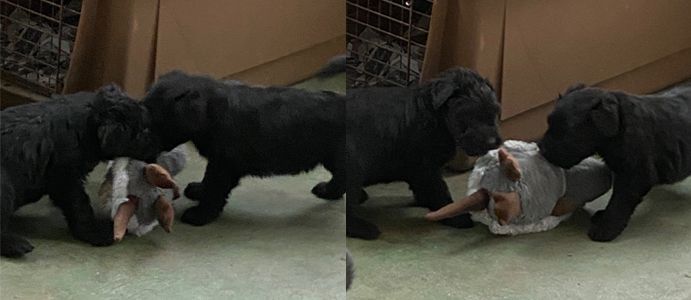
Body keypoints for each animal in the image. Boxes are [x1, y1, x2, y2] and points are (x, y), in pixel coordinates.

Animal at [0, 85, 159, 258]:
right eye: (142, 131)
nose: (158, 151)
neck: (86, 126)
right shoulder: (66, 180)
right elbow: (80, 207)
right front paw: (97, 233)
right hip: (5, 187)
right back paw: (15, 244)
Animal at [141, 70, 346, 225]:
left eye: (153, 124)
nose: (143, 152)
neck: (211, 113)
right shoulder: (218, 162)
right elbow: (208, 179)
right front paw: (199, 190)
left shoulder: (223, 166)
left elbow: (214, 189)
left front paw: (200, 214)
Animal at [348, 67, 500, 239]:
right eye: (470, 114)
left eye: (494, 112)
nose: (493, 142)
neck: (435, 115)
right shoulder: (426, 169)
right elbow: (440, 191)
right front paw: (456, 217)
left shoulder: (421, 171)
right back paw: (364, 228)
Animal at [540, 84, 691, 241]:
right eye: (549, 123)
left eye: (567, 132)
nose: (541, 148)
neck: (618, 126)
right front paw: (602, 216)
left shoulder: (633, 176)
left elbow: (618, 202)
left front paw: (605, 228)